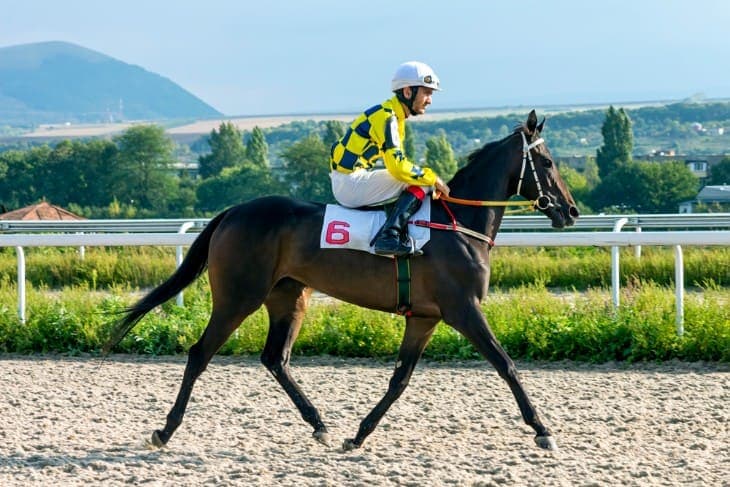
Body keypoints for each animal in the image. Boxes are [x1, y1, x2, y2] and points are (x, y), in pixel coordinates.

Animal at [105, 110, 579, 452]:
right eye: (548, 162)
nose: (570, 211)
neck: (458, 224)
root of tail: (233, 212)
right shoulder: (462, 309)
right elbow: (506, 364)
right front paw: (543, 429)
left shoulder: (424, 318)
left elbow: (399, 380)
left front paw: (358, 434)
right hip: (237, 297)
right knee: (200, 354)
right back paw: (165, 430)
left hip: (288, 297)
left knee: (275, 358)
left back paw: (319, 424)